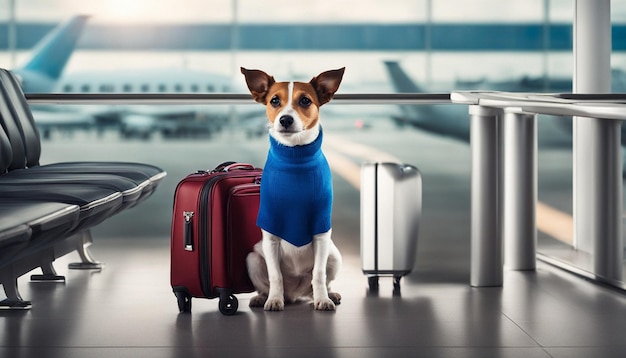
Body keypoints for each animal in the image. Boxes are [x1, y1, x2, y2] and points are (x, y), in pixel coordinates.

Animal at [240, 66, 346, 310]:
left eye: (305, 100)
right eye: (274, 100)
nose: (286, 119)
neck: (295, 156)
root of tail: (296, 294)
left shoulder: (321, 232)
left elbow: (318, 274)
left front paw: (323, 300)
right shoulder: (270, 235)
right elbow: (275, 275)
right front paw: (273, 300)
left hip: (334, 255)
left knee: (322, 280)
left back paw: (328, 295)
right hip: (252, 259)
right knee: (267, 282)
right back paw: (264, 297)